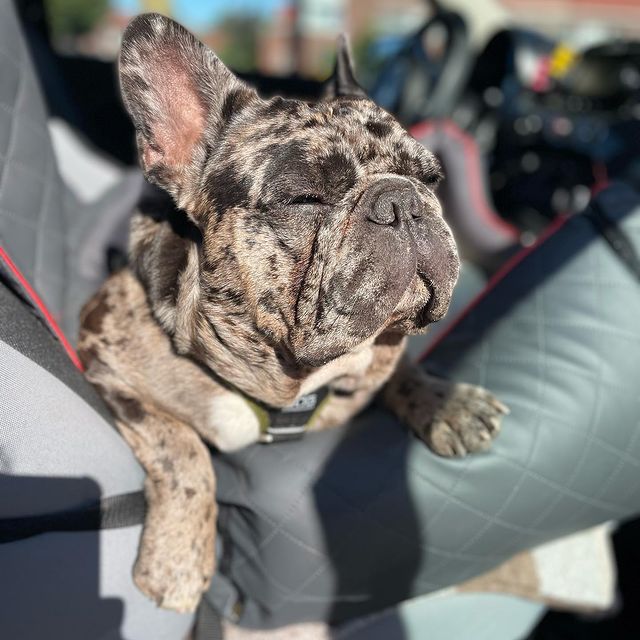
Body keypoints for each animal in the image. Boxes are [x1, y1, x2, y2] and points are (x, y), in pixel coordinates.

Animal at [78, 13, 507, 613]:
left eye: (431, 179)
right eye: (305, 198)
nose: (402, 201)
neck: (290, 380)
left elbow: (398, 364)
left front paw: (447, 402)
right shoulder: (106, 358)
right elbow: (181, 451)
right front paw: (178, 561)